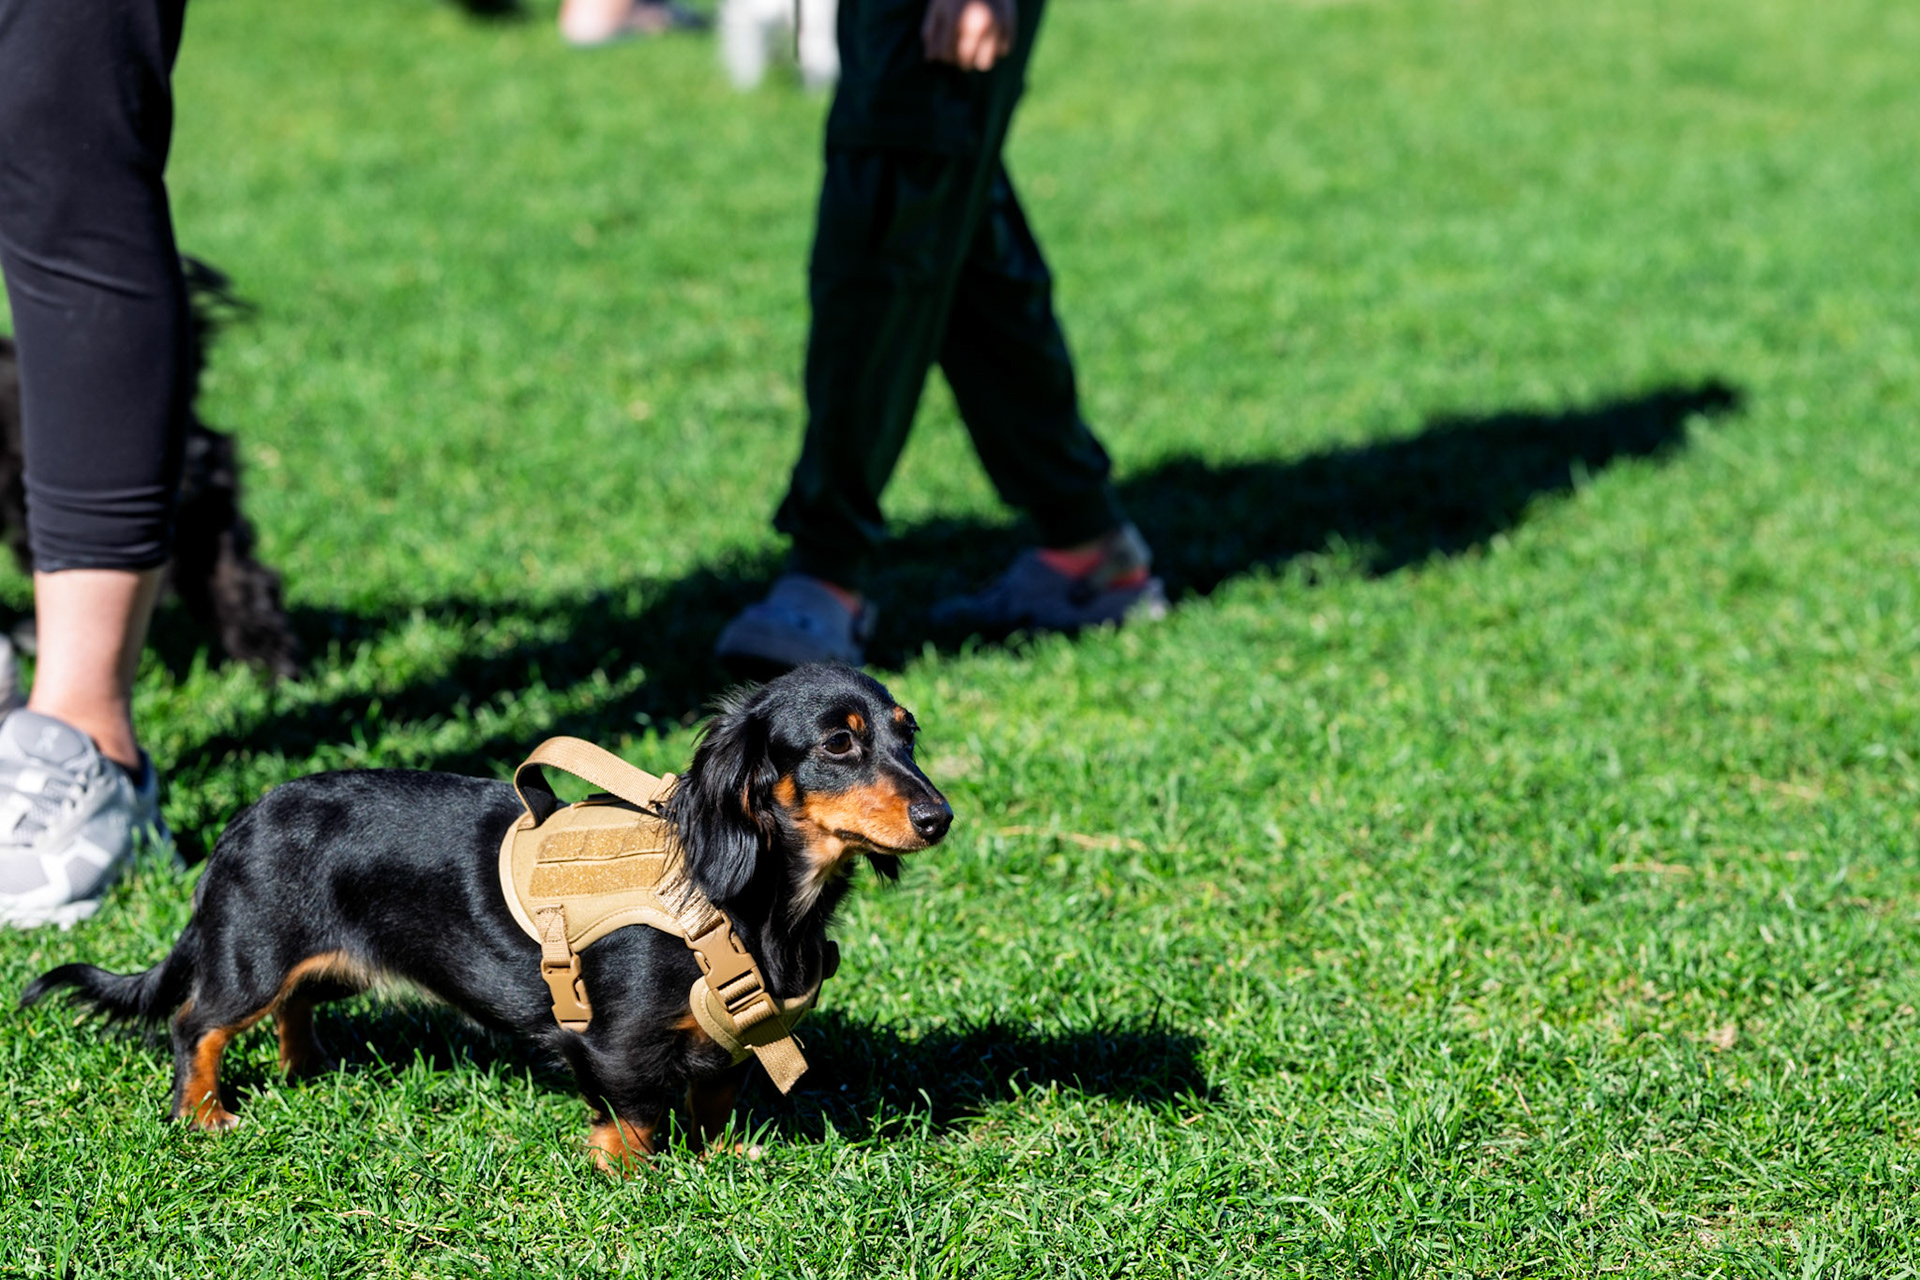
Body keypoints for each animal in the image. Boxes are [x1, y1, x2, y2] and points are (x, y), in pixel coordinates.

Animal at [22, 663, 952, 1169]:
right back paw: (204, 1112)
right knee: (197, 1024)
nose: (940, 817)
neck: (754, 896)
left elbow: (715, 1099)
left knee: (294, 1007)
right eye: (839, 743)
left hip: (322, 966)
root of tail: (241, 822)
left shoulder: (724, 1044)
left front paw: (725, 1159)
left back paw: (309, 1070)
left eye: (907, 735)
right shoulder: (612, 1045)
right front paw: (634, 1178)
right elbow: (637, 1118)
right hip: (252, 958)